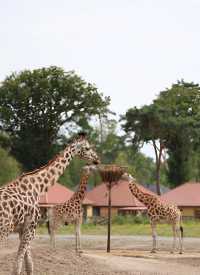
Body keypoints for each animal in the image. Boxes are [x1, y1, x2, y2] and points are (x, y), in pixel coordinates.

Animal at [0, 133, 99, 274]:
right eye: (87, 148)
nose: (97, 159)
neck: (37, 187)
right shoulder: (30, 228)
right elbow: (19, 267)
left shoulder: (23, 229)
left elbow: (29, 264)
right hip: (4, 230)